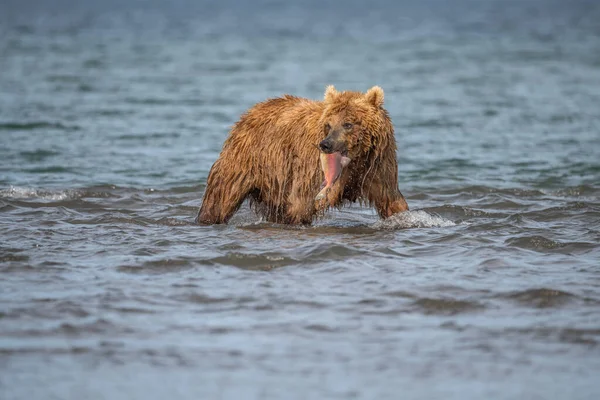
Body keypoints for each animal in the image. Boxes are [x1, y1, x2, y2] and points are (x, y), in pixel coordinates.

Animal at [196, 85, 408, 225]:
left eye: (348, 124)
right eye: (328, 124)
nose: (326, 144)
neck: (356, 160)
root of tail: (250, 112)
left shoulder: (377, 166)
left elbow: (392, 201)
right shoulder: (311, 171)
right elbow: (301, 204)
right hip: (245, 161)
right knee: (221, 198)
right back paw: (207, 217)